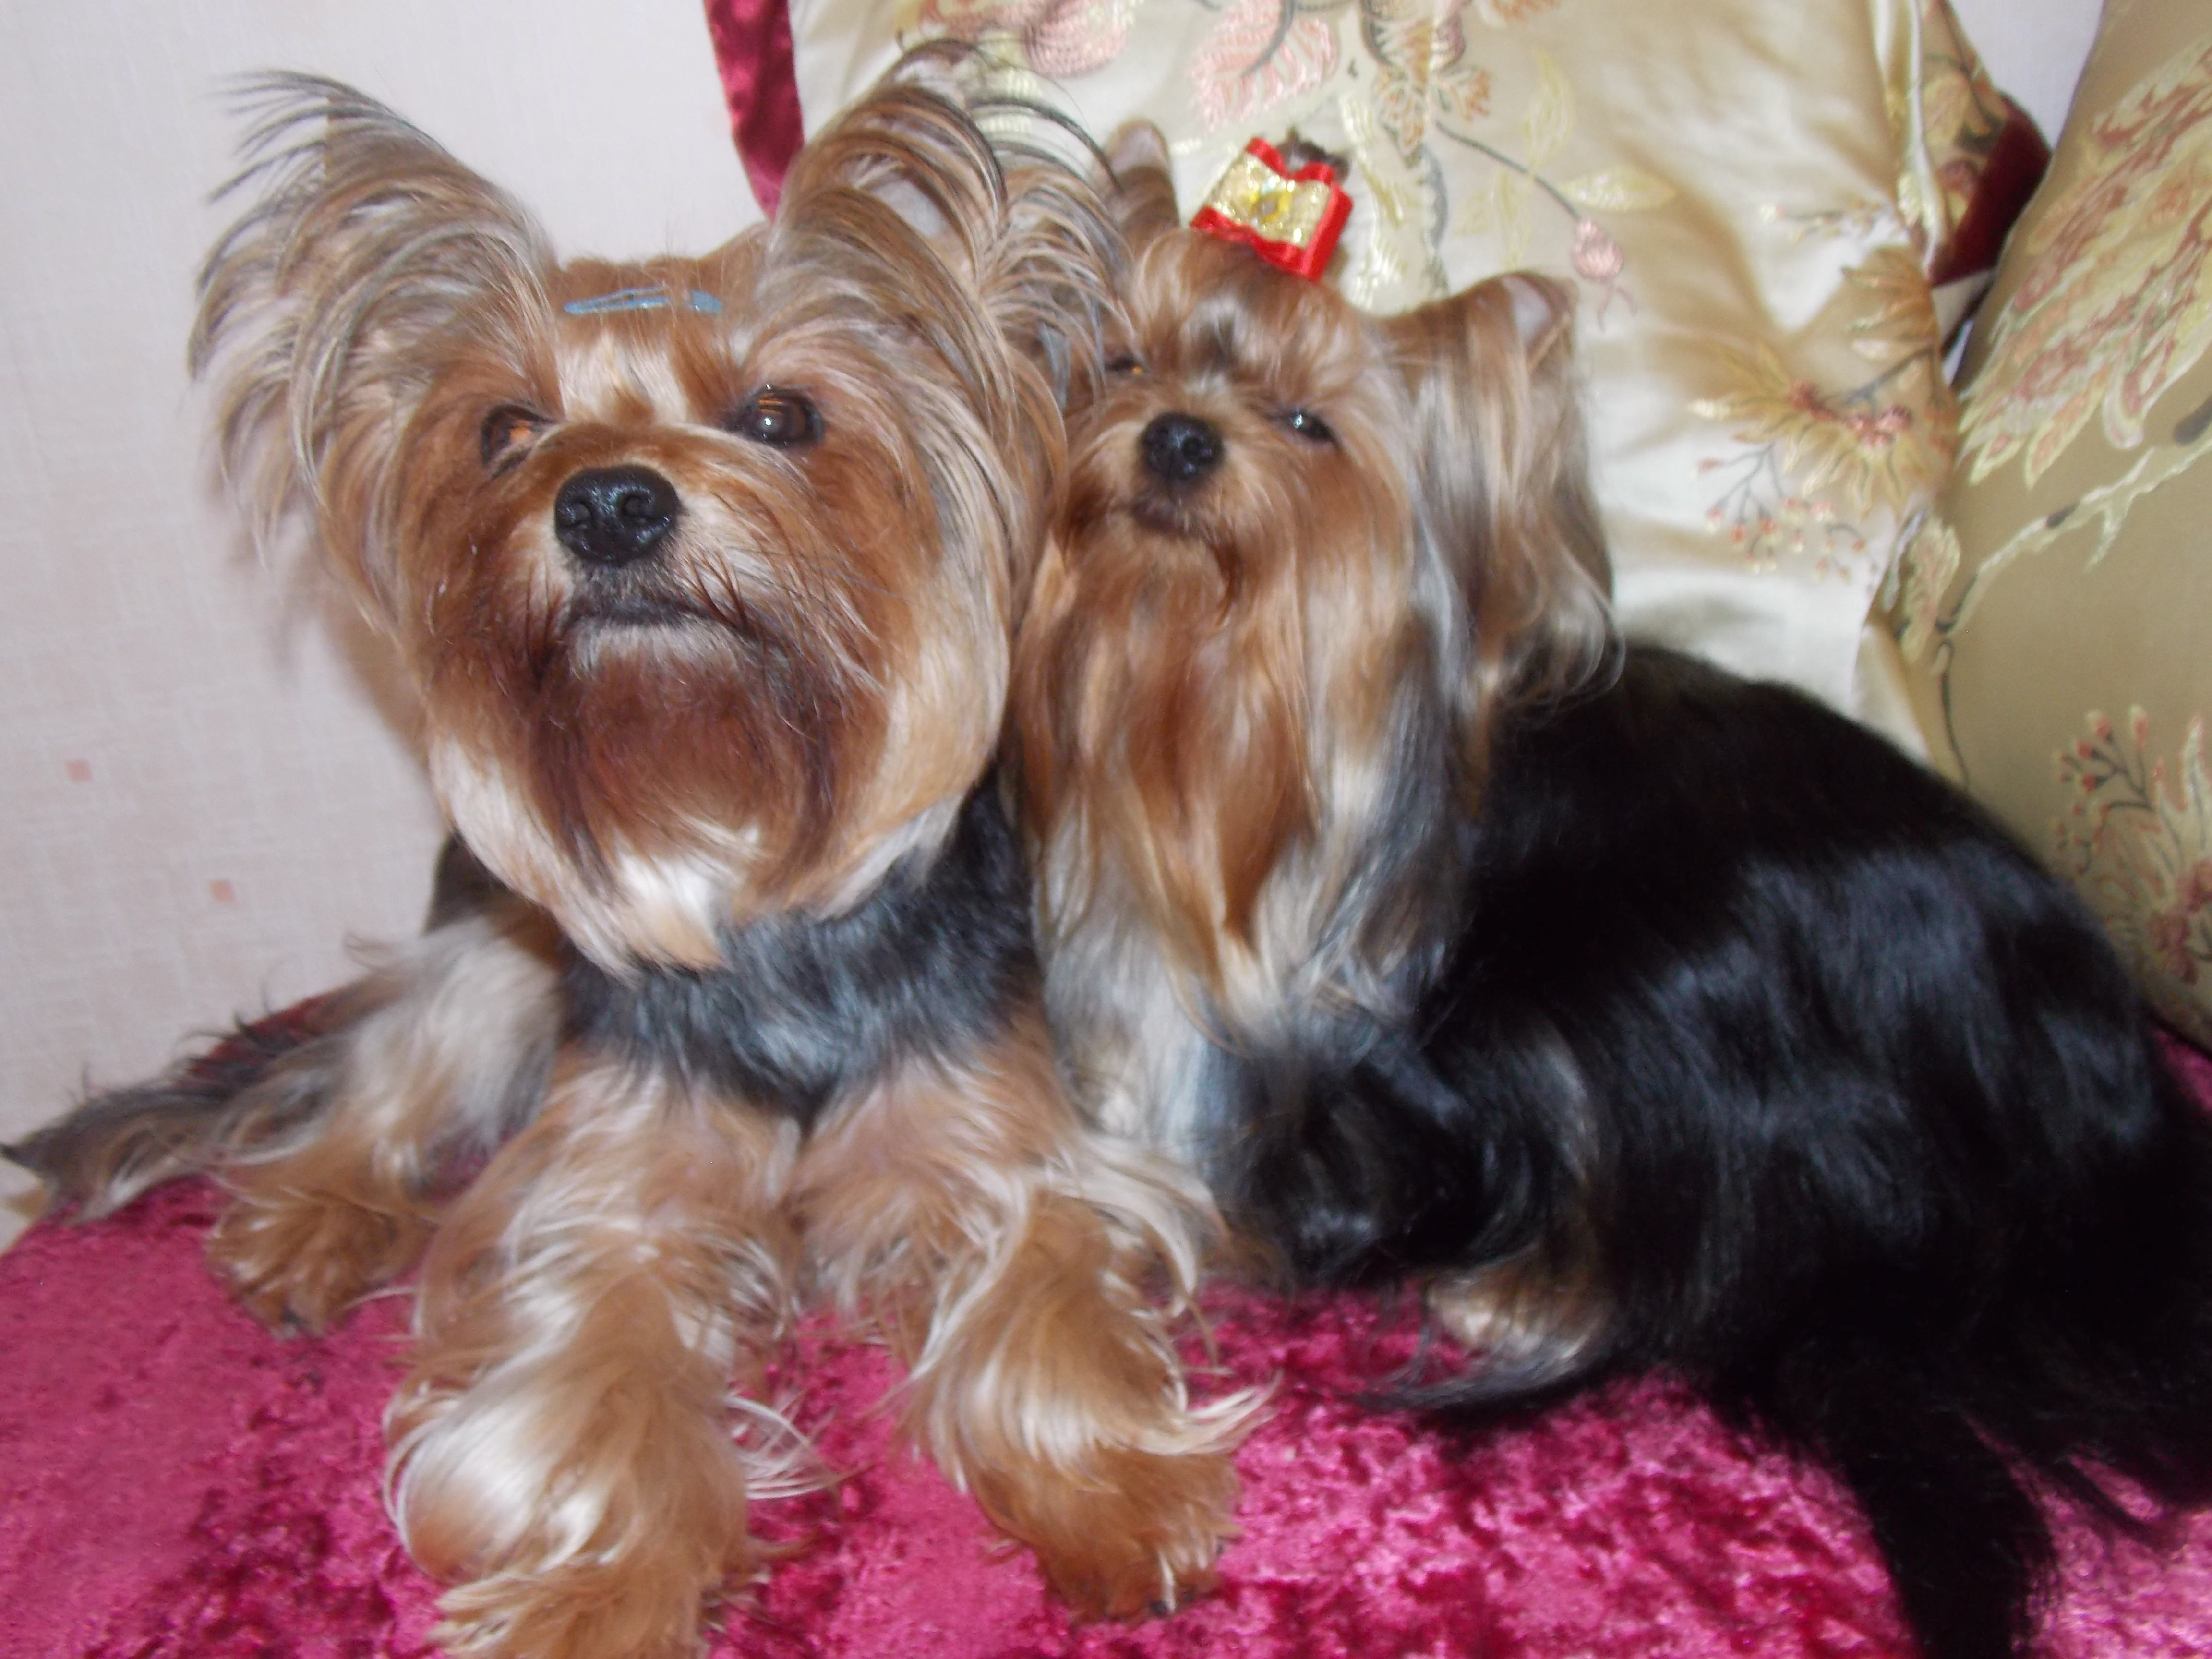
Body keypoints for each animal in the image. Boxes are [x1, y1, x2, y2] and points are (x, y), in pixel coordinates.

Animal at [10, 74, 1251, 1658]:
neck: (736, 830)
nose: (608, 501)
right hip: (501, 947)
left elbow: (1047, 1300)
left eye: (781, 416)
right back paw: (309, 1221)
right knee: (377, 1068)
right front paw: (594, 1598)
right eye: (506, 427)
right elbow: (591, 1385)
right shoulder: (612, 1200)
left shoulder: (1003, 1146)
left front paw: (1119, 1498)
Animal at [1009, 127, 2212, 1659]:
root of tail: (2117, 1087)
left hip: (1673, 979)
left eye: (1304, 425)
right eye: (1120, 361)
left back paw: (1518, 1297)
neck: (1189, 735)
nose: (1176, 438)